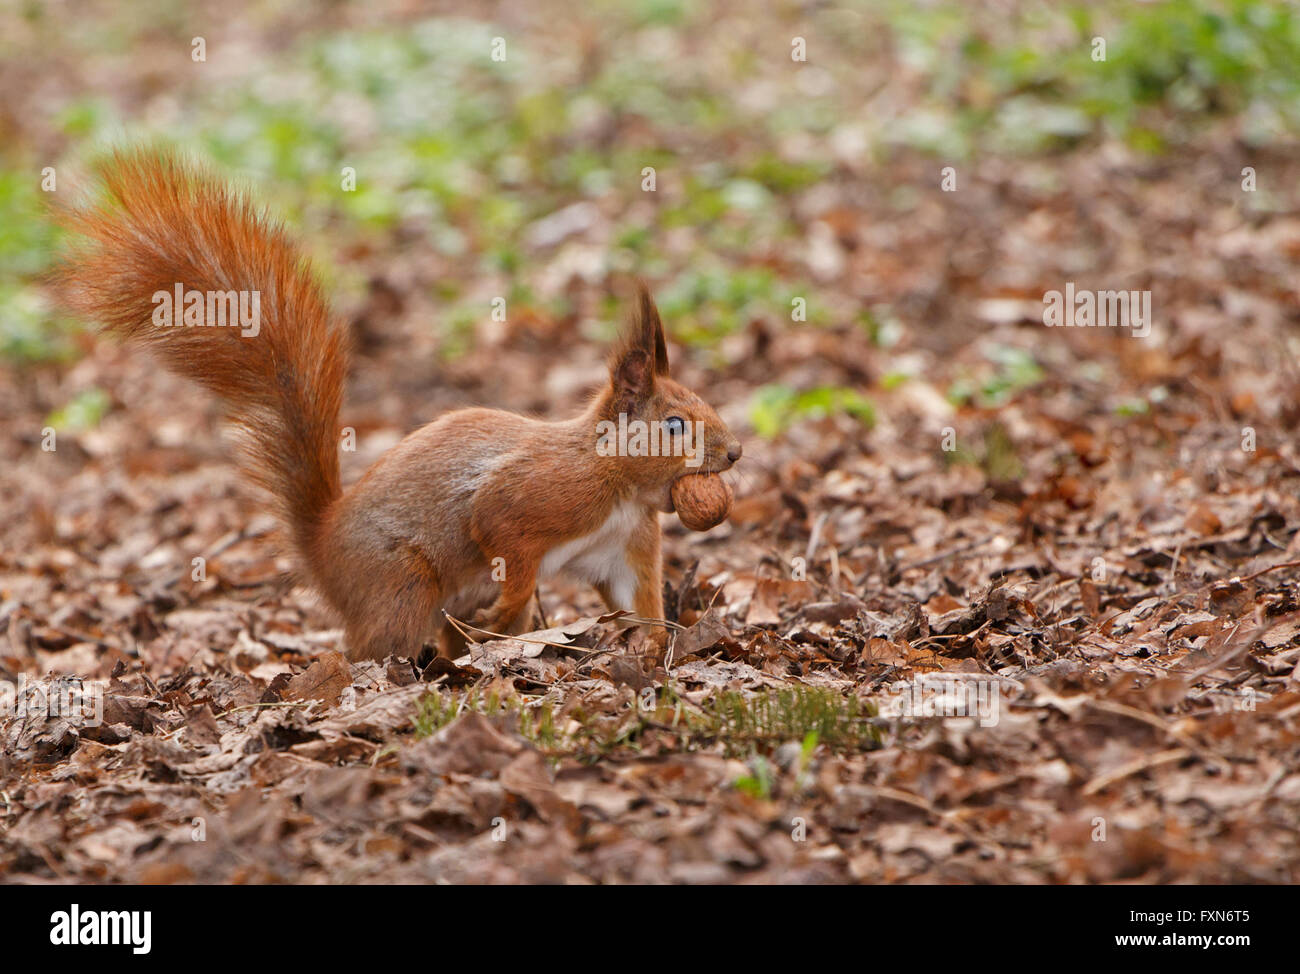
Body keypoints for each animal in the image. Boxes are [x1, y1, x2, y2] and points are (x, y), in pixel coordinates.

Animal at [52, 147, 742, 661]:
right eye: (674, 424)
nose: (735, 452)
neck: (620, 484)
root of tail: (322, 548)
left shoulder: (624, 547)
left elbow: (637, 601)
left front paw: (654, 648)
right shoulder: (537, 495)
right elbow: (502, 533)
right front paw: (516, 599)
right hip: (403, 582)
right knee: (374, 645)